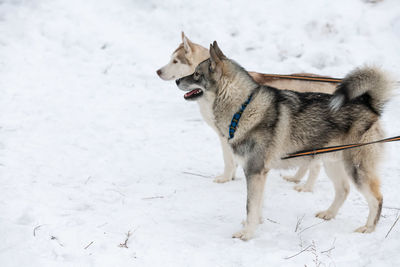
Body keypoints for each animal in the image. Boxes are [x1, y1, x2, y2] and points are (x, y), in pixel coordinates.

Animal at [156, 33, 338, 193]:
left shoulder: (226, 135)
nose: (158, 71)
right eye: (171, 59)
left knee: (315, 166)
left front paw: (225, 178)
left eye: (175, 61)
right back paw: (295, 178)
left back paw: (306, 187)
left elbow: (228, 160)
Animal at [177, 41, 392, 241]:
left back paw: (368, 228)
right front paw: (254, 224)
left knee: (377, 198)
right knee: (343, 190)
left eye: (197, 74)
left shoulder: (254, 171)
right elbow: (257, 205)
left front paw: (247, 234)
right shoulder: (260, 174)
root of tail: (369, 105)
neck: (243, 107)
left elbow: (250, 206)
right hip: (333, 164)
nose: (178, 80)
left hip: (356, 169)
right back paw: (329, 214)